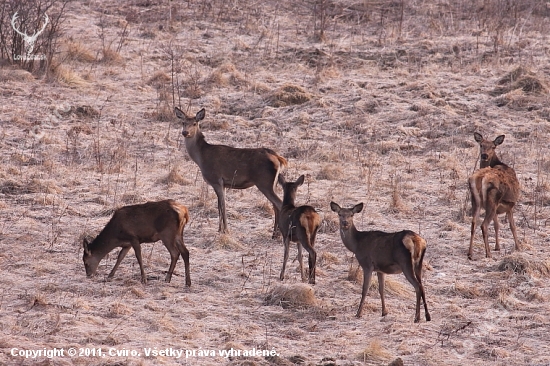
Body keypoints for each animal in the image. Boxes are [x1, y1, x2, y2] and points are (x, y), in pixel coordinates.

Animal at [177, 106, 288, 237]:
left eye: (194, 123)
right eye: (183, 122)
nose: (185, 132)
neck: (201, 158)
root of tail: (278, 158)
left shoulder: (216, 180)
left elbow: (222, 206)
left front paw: (225, 230)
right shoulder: (223, 184)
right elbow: (219, 206)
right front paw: (220, 229)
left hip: (264, 182)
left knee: (279, 204)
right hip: (272, 183)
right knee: (275, 206)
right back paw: (275, 234)